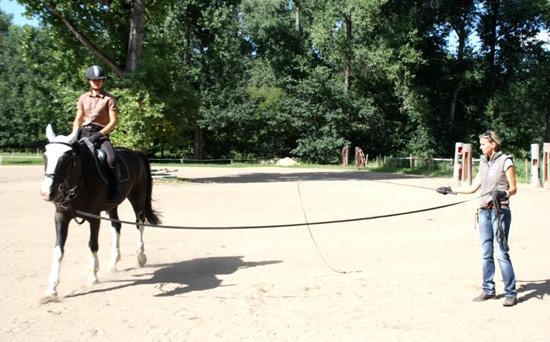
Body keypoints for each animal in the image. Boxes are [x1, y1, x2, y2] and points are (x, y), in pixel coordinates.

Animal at [38, 125, 160, 302]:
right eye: (45, 155)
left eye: (66, 159)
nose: (46, 193)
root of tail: (136, 153)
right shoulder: (61, 217)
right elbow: (58, 250)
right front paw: (51, 289)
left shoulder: (94, 217)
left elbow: (93, 245)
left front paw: (93, 276)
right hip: (112, 206)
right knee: (117, 226)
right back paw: (113, 263)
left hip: (137, 197)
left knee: (140, 223)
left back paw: (141, 256)